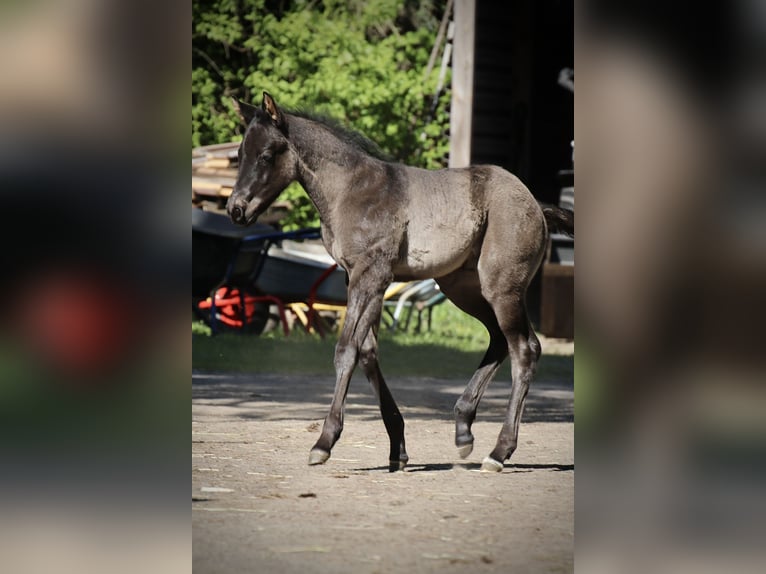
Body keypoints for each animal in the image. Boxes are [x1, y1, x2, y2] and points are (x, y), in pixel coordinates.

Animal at [228, 92, 576, 474]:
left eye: (265, 155)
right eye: (239, 154)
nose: (236, 209)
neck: (350, 190)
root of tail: (535, 204)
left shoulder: (371, 274)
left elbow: (346, 350)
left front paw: (323, 443)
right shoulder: (362, 278)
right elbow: (368, 352)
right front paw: (398, 447)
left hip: (501, 288)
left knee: (524, 349)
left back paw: (499, 451)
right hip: (462, 289)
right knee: (501, 341)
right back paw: (463, 429)